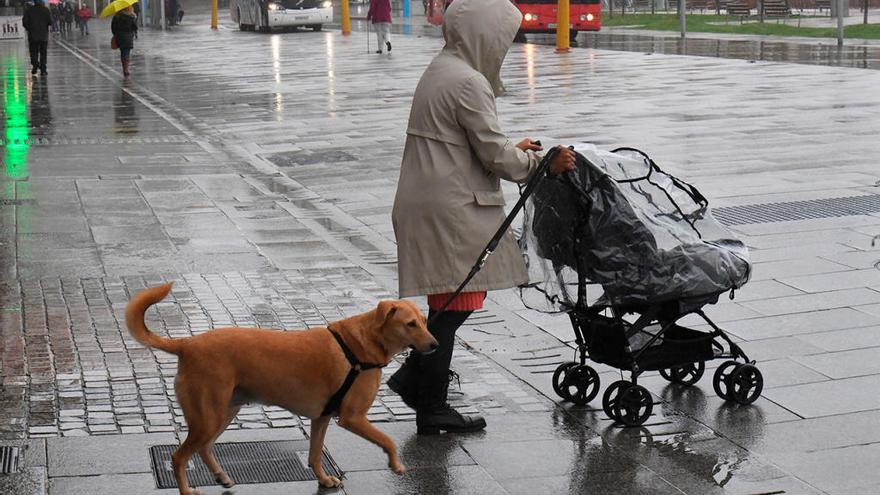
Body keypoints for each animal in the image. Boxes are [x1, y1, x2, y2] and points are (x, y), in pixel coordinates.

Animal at [125, 284, 438, 494]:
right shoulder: (353, 417)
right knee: (180, 456)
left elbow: (314, 454)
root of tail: (186, 344)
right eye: (410, 324)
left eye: (424, 321)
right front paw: (396, 464)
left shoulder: (321, 418)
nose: (436, 345)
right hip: (208, 416)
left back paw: (221, 476)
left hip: (223, 412)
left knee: (203, 448)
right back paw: (188, 489)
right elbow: (388, 440)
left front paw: (324, 479)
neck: (362, 345)